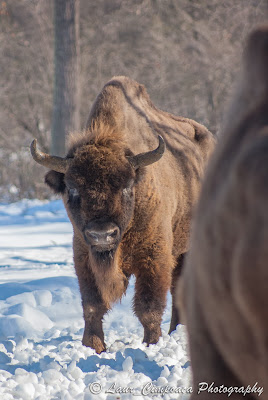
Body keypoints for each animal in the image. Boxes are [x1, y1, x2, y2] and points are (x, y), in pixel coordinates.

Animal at [30, 76, 216, 354]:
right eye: (72, 188)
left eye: (127, 185)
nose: (102, 234)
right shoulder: (84, 256)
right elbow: (93, 305)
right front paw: (93, 347)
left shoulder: (155, 258)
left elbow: (149, 307)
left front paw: (151, 344)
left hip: (187, 249)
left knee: (179, 290)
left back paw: (176, 331)